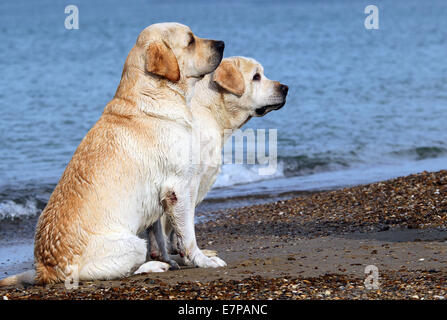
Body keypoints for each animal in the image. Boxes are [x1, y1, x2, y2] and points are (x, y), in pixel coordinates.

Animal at [0, 23, 224, 288]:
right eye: (190, 41)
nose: (222, 43)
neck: (153, 93)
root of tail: (44, 270)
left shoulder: (160, 196)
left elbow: (159, 235)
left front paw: (169, 259)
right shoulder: (177, 189)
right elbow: (187, 235)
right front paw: (201, 260)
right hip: (133, 244)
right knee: (126, 270)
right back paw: (153, 266)